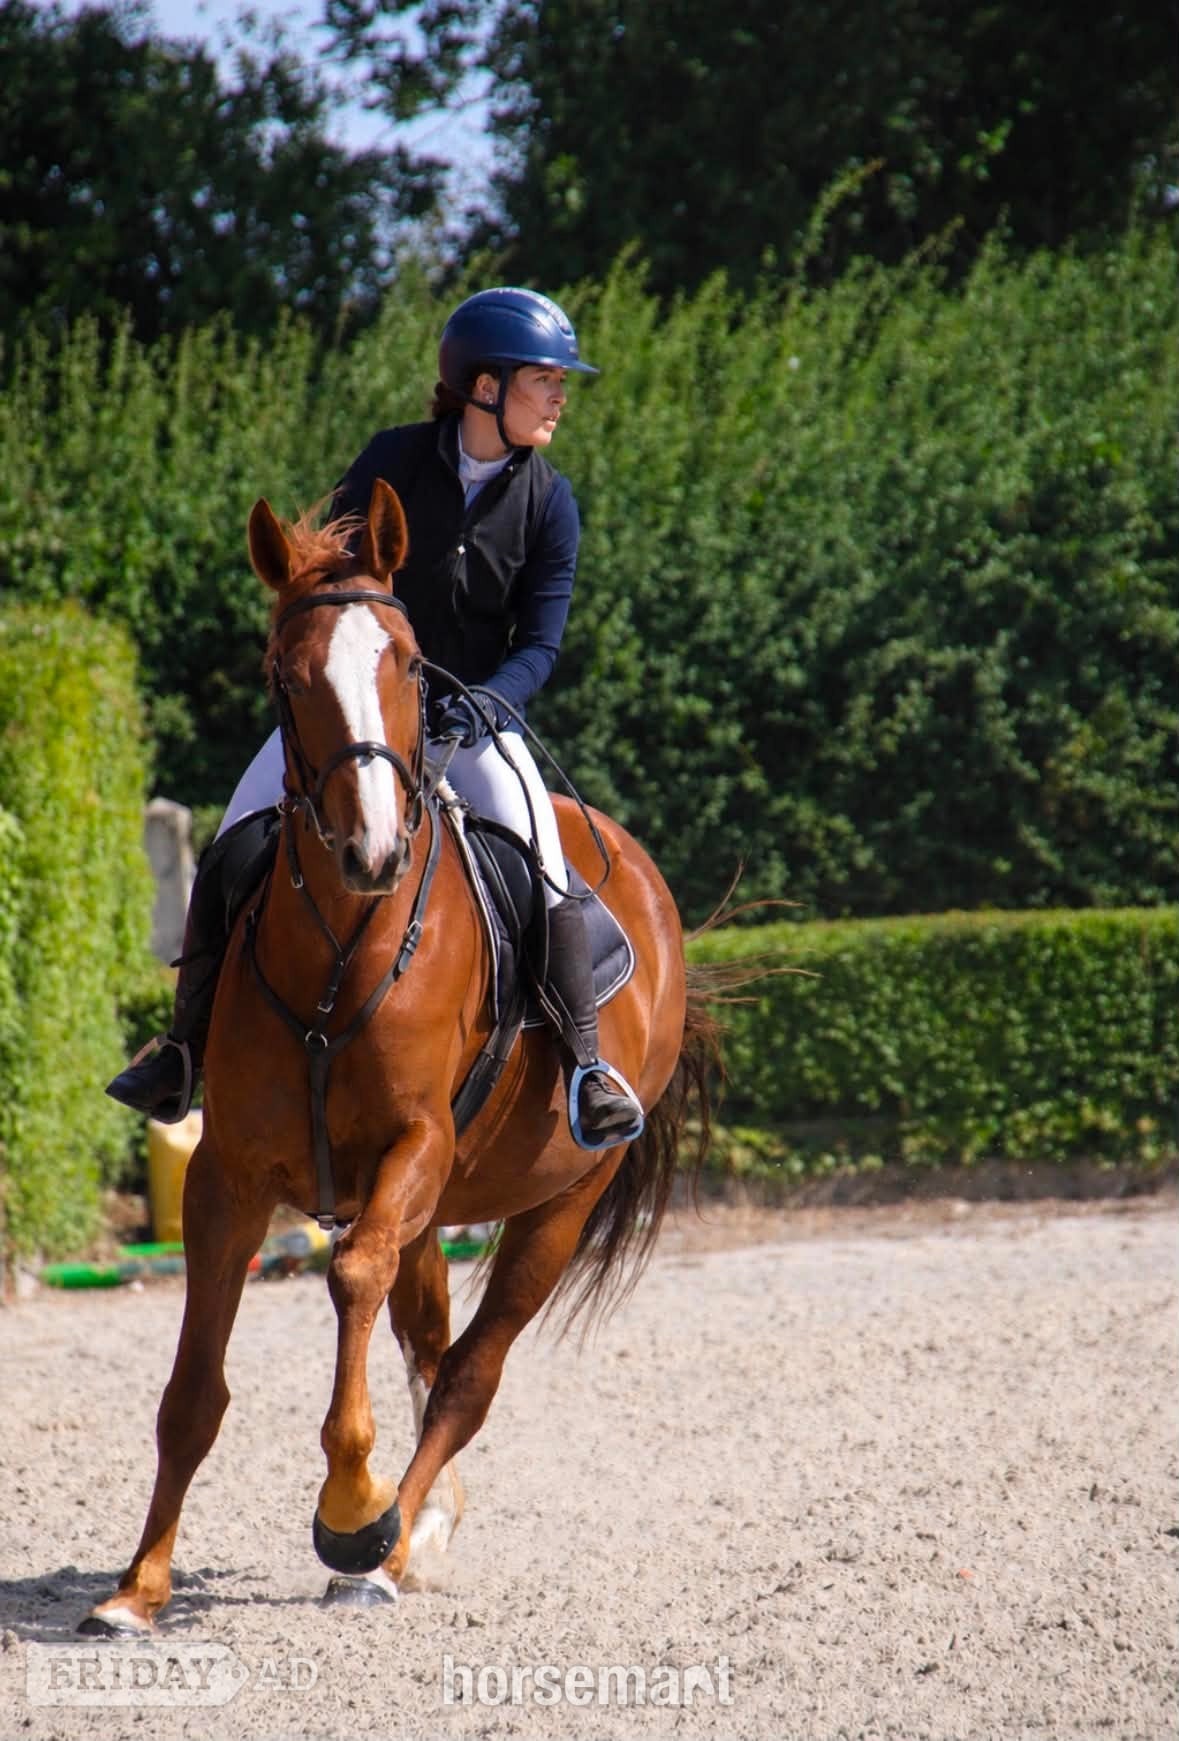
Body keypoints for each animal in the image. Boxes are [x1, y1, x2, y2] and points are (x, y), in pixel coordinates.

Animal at [81, 478, 718, 1632]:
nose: (371, 851)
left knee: (467, 1369)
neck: (344, 947)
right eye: (284, 675)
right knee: (426, 1340)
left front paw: (348, 1505)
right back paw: (416, 1527)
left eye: (412, 667)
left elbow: (352, 1277)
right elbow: (193, 1392)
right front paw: (137, 1587)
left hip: (556, 1200)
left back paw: (385, 1547)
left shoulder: (413, 1144)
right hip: (433, 1202)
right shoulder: (229, 1173)